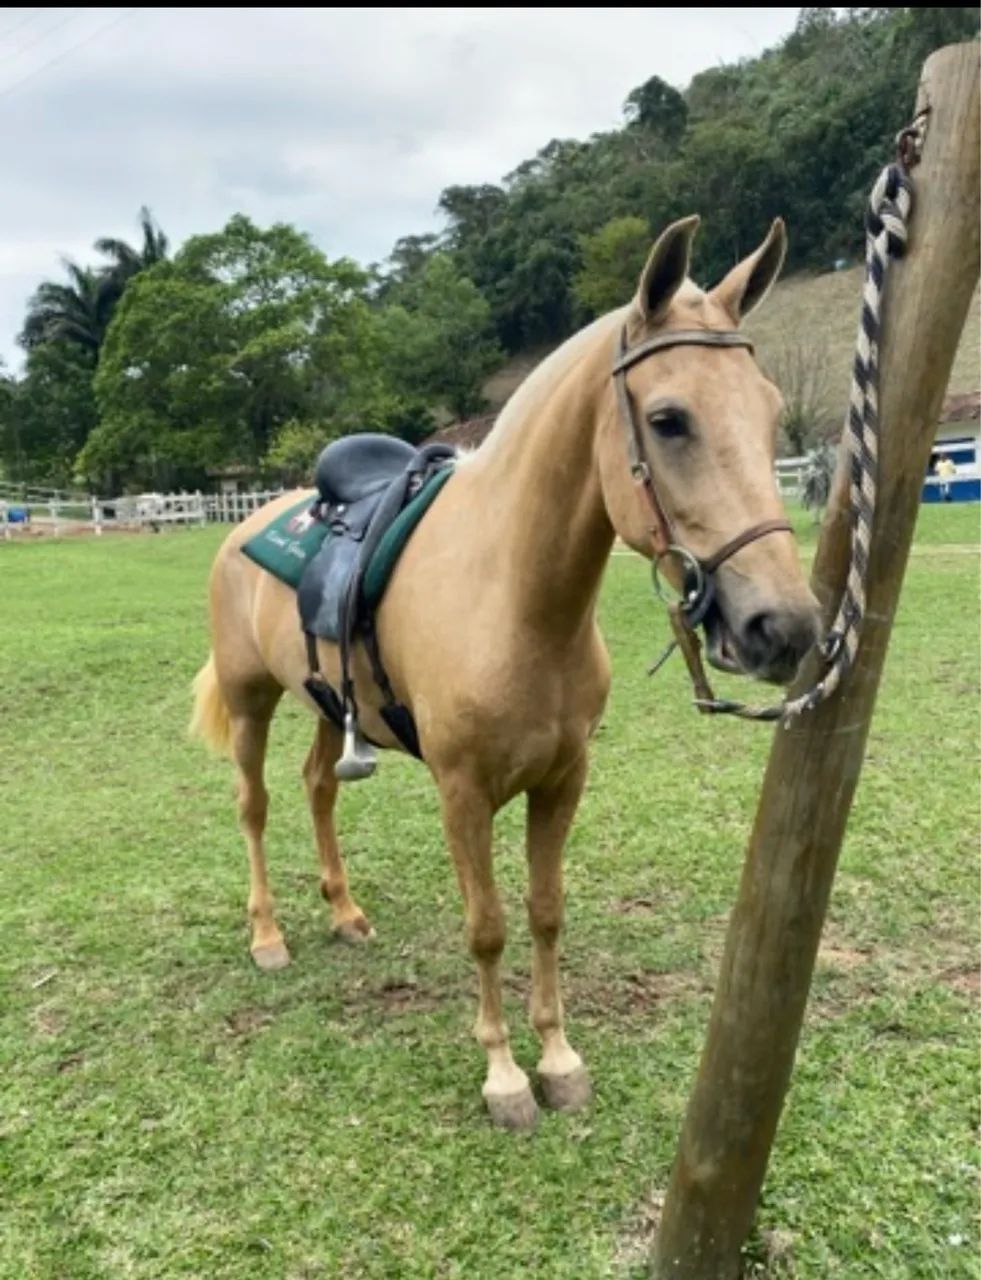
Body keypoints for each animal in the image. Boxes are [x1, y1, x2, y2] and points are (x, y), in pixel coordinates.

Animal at [190, 215, 821, 1129]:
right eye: (668, 419)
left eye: (772, 413)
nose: (784, 626)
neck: (514, 598)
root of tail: (252, 518)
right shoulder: (462, 792)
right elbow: (486, 926)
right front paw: (503, 1077)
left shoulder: (561, 781)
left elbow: (545, 913)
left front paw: (557, 1058)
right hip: (250, 701)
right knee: (254, 804)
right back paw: (267, 935)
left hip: (321, 700)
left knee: (317, 786)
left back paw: (344, 911)